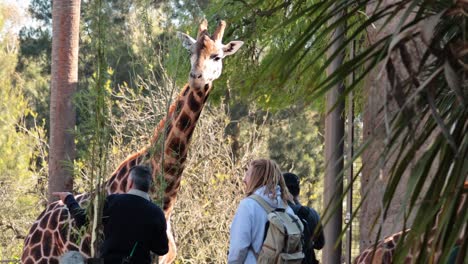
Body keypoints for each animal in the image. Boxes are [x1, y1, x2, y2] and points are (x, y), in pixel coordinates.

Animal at [20, 19, 243, 264]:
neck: (165, 199)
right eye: (190, 53)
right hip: (37, 260)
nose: (196, 78)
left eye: (217, 56)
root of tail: (33, 228)